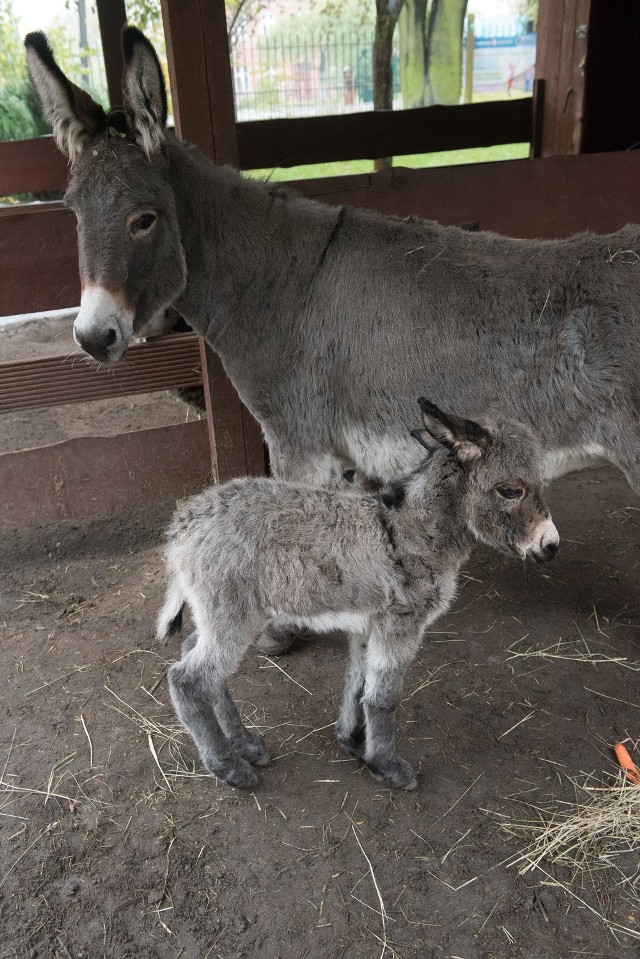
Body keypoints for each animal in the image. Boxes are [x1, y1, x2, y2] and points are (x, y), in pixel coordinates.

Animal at [158, 402, 556, 792]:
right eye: (510, 491)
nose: (550, 546)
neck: (413, 529)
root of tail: (184, 525)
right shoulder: (400, 625)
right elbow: (383, 698)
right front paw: (387, 765)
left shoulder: (369, 625)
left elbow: (358, 683)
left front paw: (353, 741)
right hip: (233, 613)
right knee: (187, 680)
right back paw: (228, 766)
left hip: (224, 612)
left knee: (195, 653)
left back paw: (243, 744)